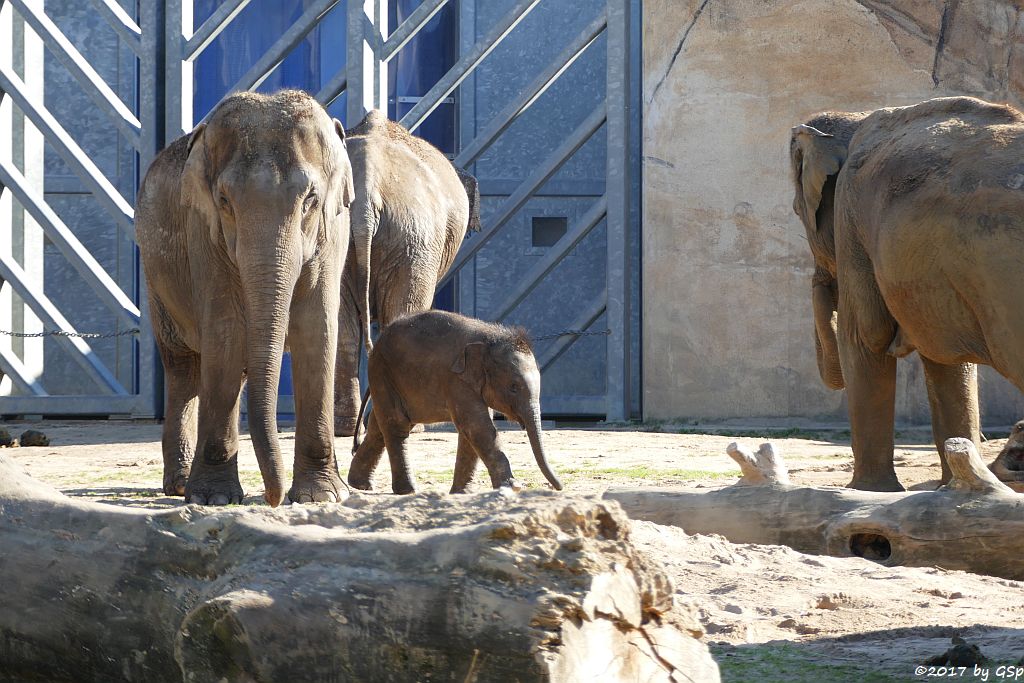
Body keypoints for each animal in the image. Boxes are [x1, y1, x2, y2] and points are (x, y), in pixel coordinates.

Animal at [348, 311, 565, 497]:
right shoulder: (457, 380)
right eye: (513, 387)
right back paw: (407, 491)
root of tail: (376, 344)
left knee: (379, 426)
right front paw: (513, 487)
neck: (490, 338)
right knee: (396, 424)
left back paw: (359, 485)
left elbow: (469, 430)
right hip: (382, 371)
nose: (559, 487)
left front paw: (462, 493)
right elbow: (477, 427)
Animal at [790, 96, 1024, 491]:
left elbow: (865, 336)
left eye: (795, 210)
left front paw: (868, 492)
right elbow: (948, 363)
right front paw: (952, 489)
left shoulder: (851, 214)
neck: (857, 115)